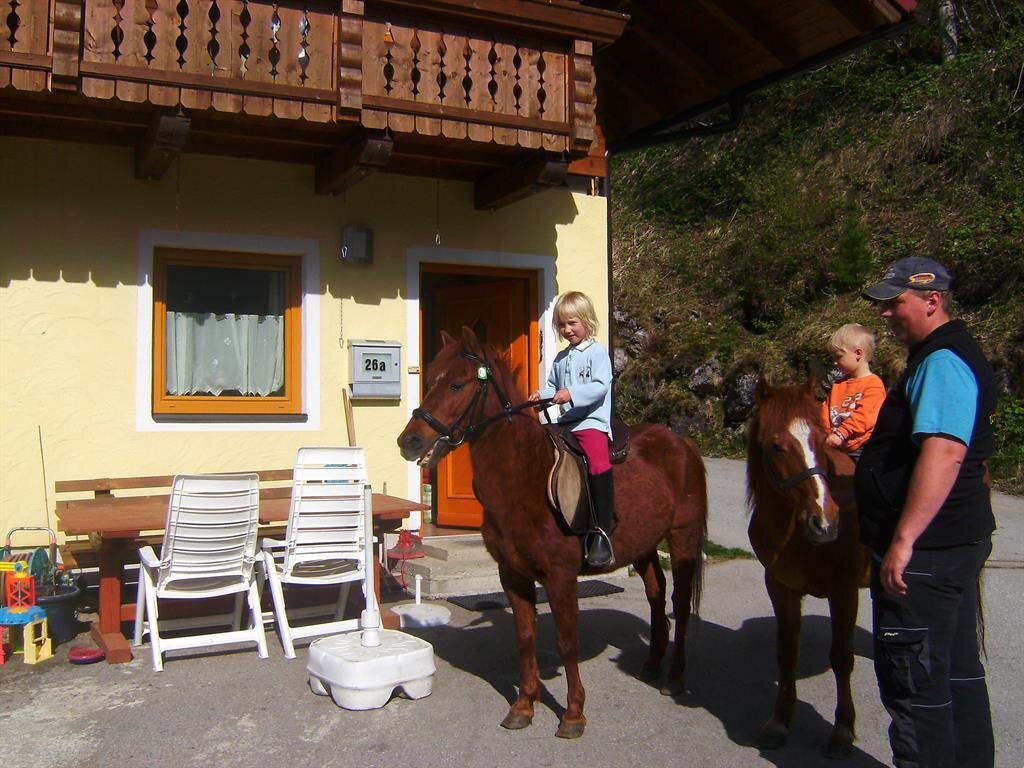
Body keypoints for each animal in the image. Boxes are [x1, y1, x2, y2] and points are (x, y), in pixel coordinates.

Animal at [397, 327, 708, 738]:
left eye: (458, 384)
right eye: (431, 380)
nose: (408, 442)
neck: (524, 473)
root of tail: (681, 444)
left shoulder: (560, 577)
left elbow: (566, 641)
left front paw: (573, 713)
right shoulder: (512, 575)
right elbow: (525, 638)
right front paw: (523, 706)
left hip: (683, 538)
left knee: (680, 604)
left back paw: (673, 677)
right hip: (643, 546)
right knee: (657, 595)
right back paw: (652, 665)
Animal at [746, 376, 870, 759]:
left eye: (821, 438)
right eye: (775, 446)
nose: (826, 522)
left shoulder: (844, 591)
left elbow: (842, 657)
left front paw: (843, 730)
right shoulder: (780, 587)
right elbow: (787, 652)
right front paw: (780, 722)